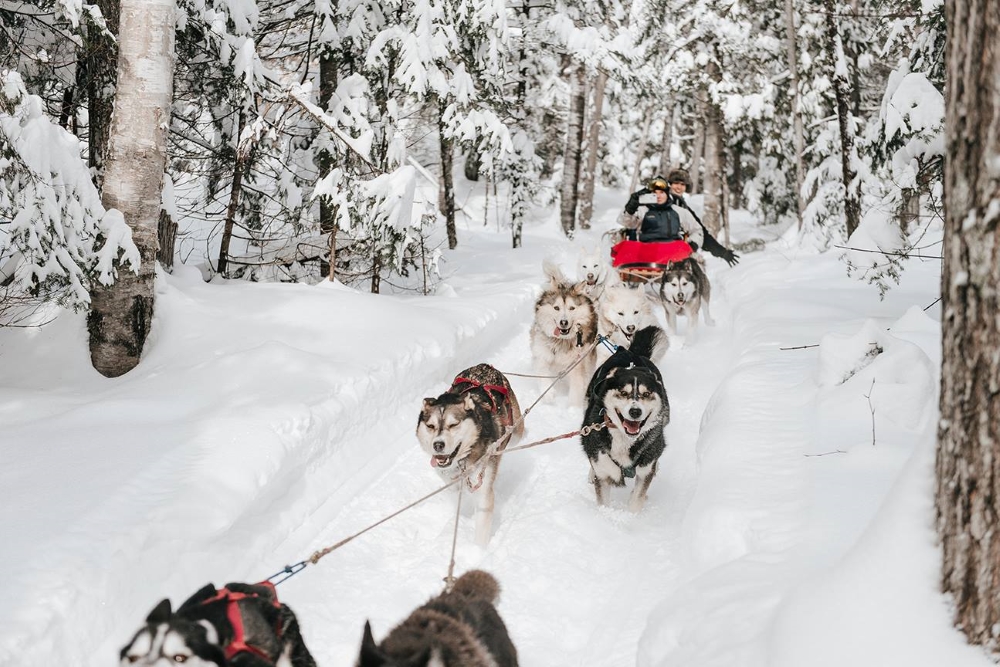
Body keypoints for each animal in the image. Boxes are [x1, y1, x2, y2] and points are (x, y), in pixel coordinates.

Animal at [414, 366, 524, 548]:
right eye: (430, 426)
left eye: (453, 424)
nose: (438, 445)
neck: (462, 461)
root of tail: (486, 365)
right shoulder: (451, 481)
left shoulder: (483, 490)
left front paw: (478, 551)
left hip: (516, 432)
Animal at [528, 260, 596, 408]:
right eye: (556, 308)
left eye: (572, 308)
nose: (563, 322)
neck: (561, 341)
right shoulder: (542, 355)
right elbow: (542, 373)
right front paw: (548, 395)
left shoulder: (577, 364)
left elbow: (576, 389)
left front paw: (573, 408)